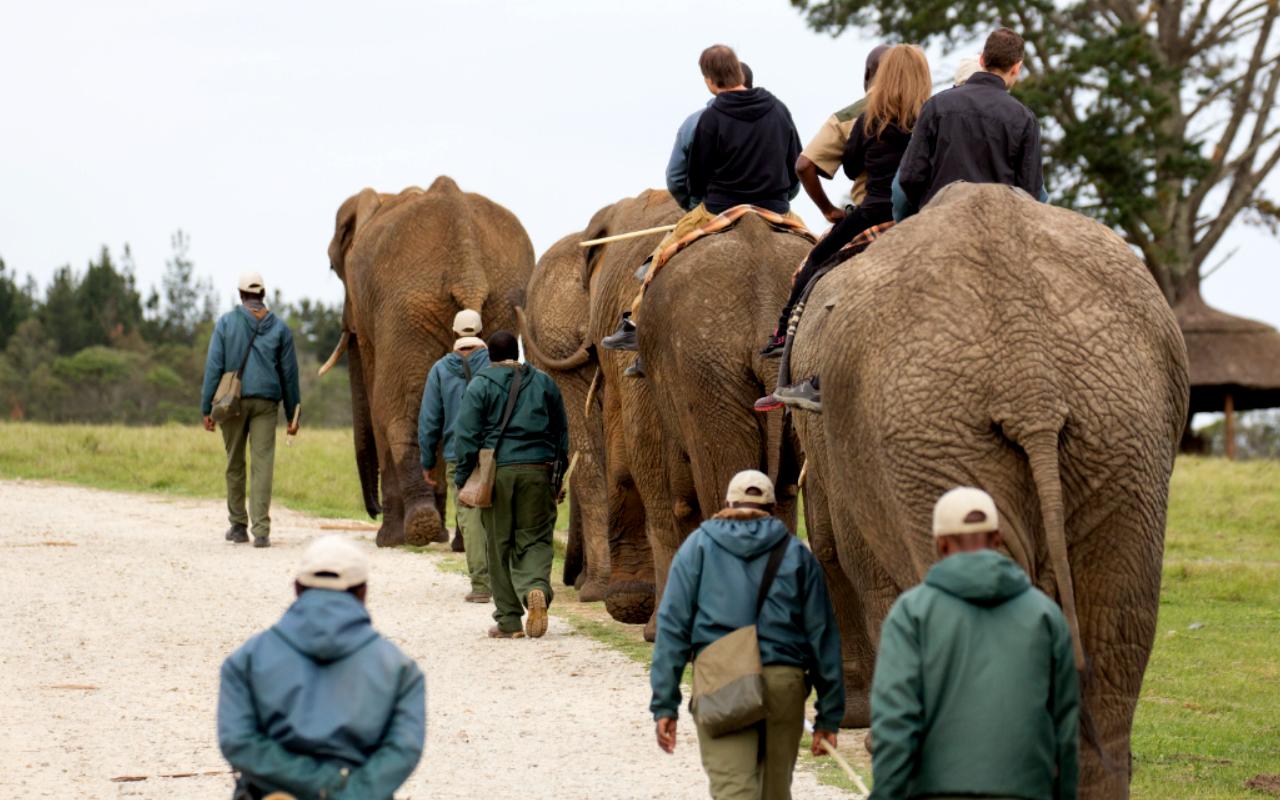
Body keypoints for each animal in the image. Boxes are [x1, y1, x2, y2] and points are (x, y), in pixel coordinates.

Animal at [323, 177, 535, 548]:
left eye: (335, 268)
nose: (373, 510)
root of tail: (468, 262)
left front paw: (394, 539)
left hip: (408, 307)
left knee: (397, 410)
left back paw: (412, 532)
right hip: (500, 304)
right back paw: (455, 539)